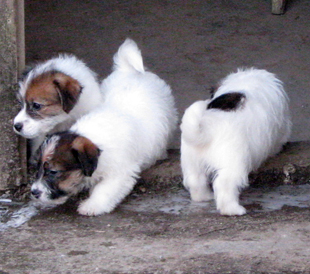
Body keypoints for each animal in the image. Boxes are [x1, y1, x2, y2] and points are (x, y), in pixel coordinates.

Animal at [30, 38, 179, 216]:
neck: (93, 138)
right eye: (38, 167)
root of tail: (130, 71)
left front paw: (92, 206)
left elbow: (104, 189)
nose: (34, 192)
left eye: (53, 172)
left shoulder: (120, 172)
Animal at [180, 68, 292, 216]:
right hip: (233, 162)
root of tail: (208, 129)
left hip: (191, 161)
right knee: (224, 184)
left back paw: (203, 197)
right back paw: (232, 209)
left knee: (196, 180)